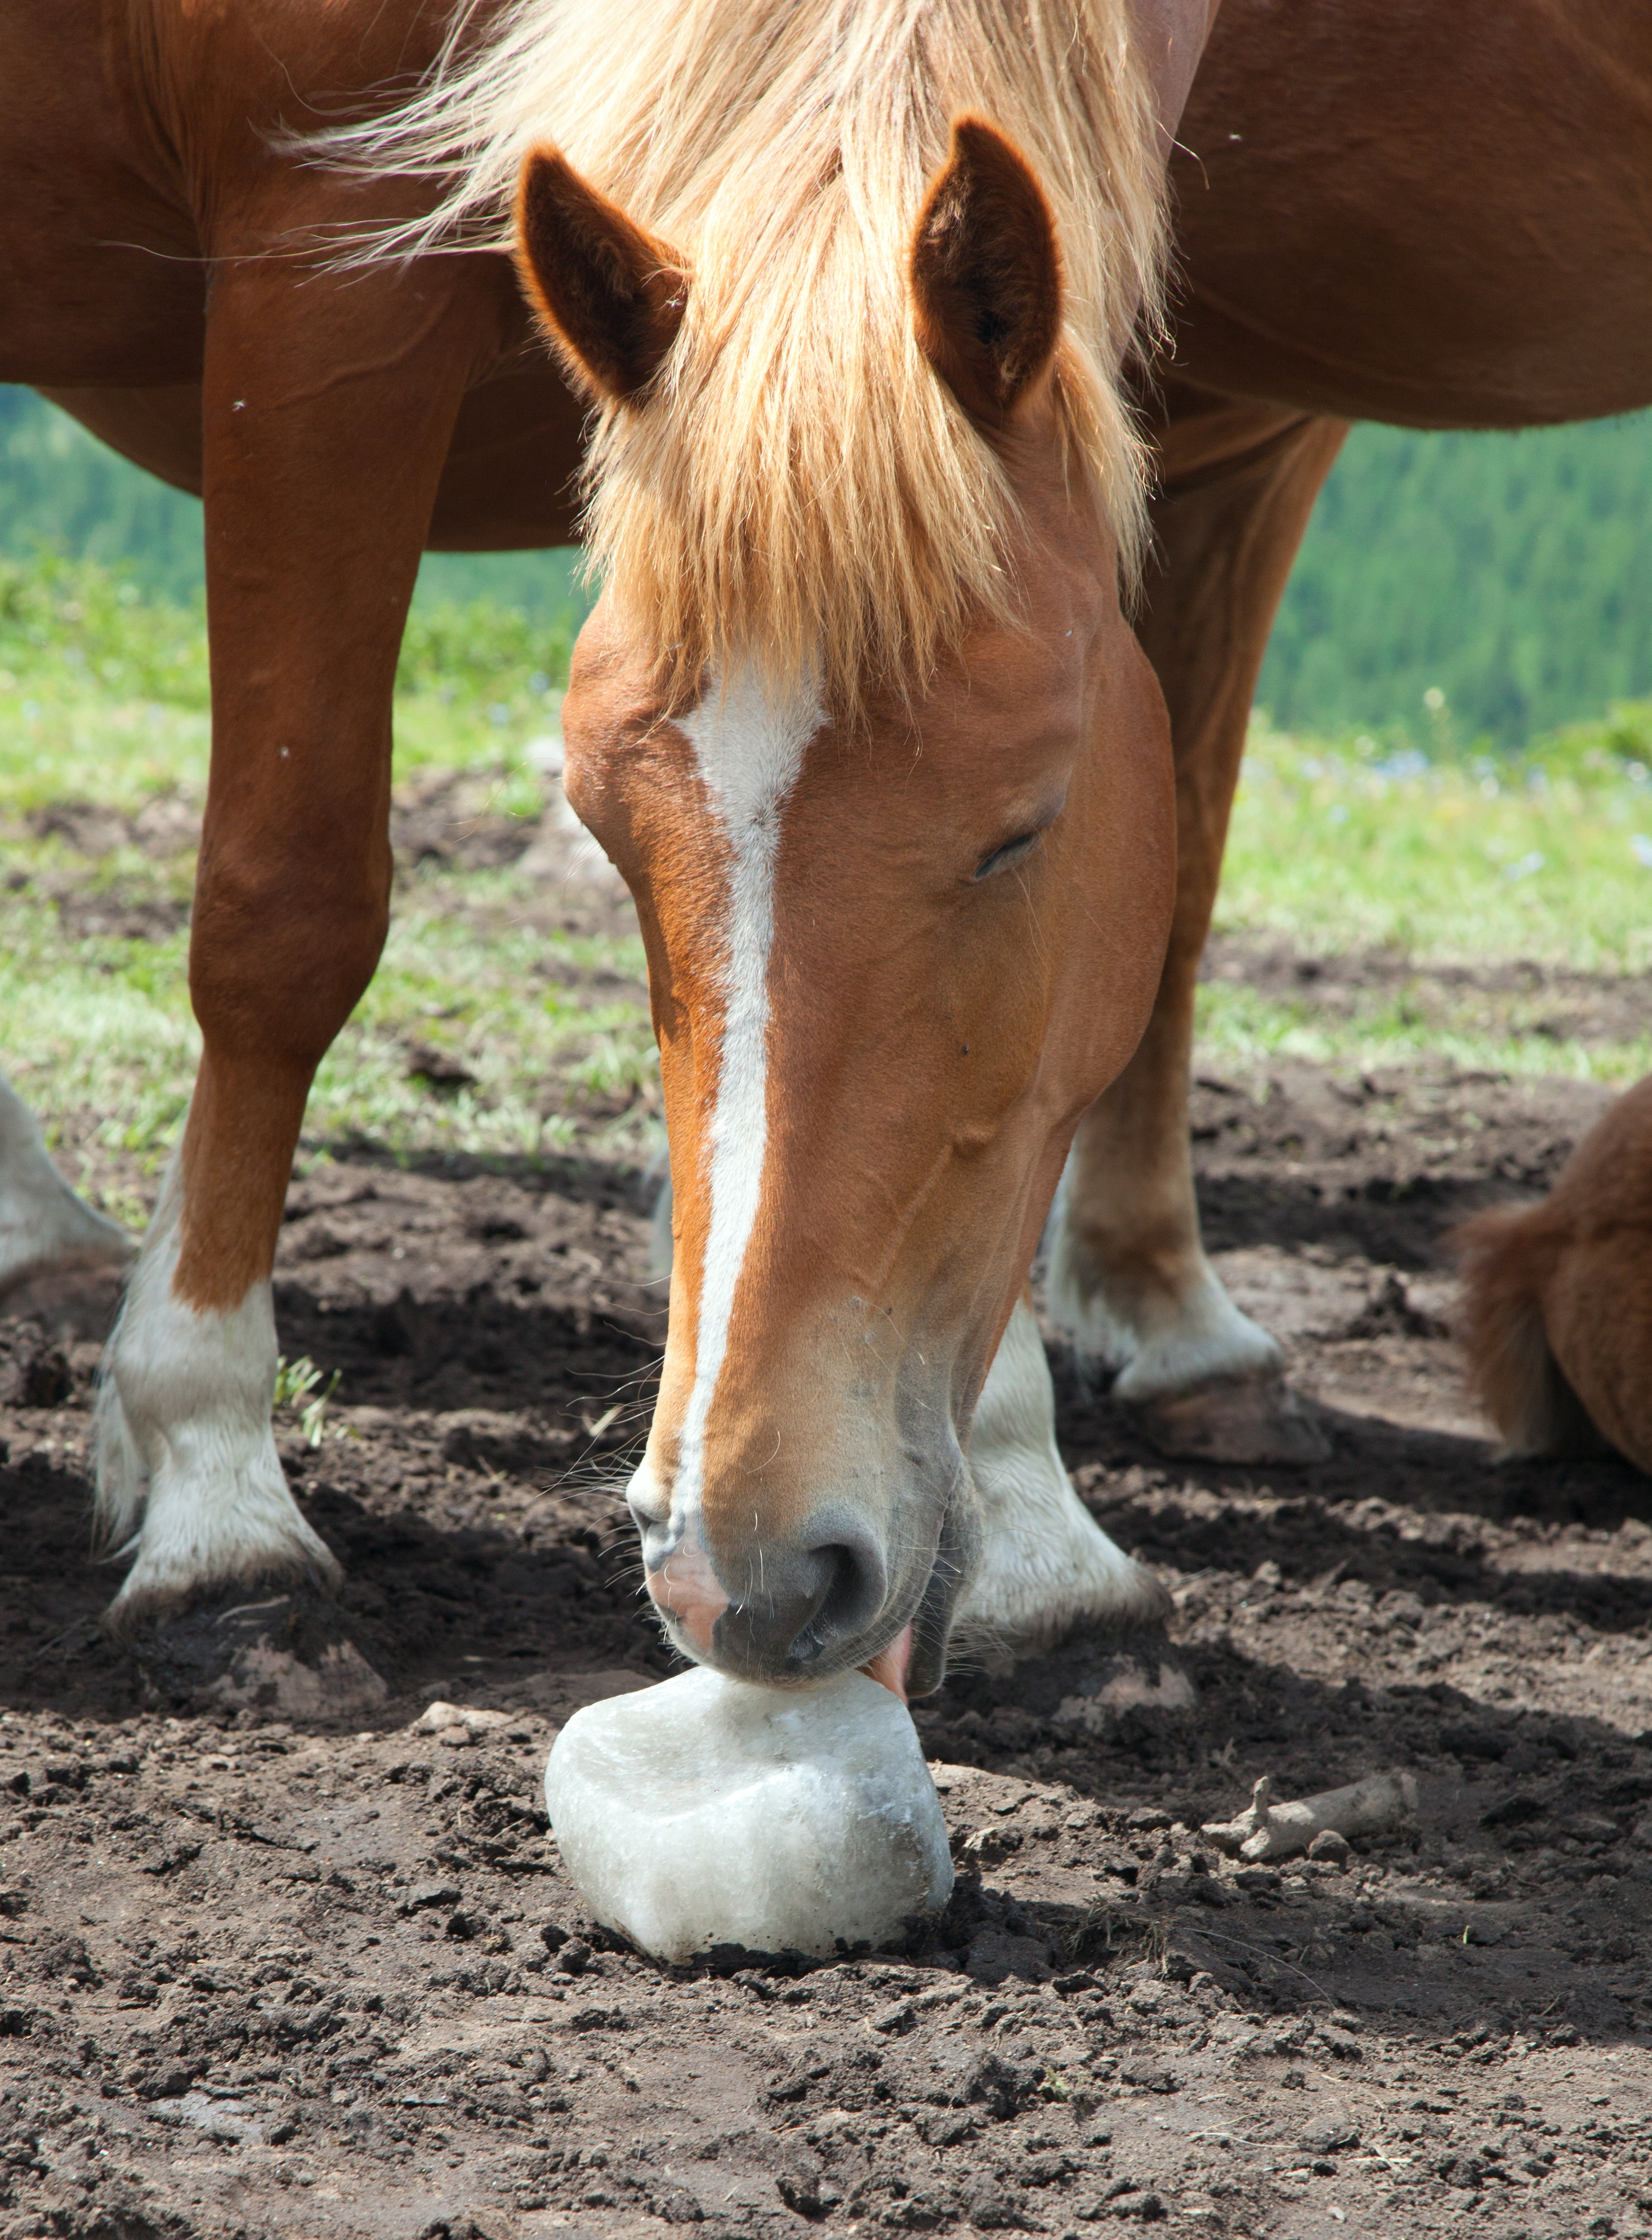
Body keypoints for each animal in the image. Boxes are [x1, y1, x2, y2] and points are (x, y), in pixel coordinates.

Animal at [0, 0, 1199, 1702]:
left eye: (1021, 827)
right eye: (603, 830)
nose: (741, 1568)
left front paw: (1039, 1516)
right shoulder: (322, 257)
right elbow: (286, 911)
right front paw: (211, 1479)